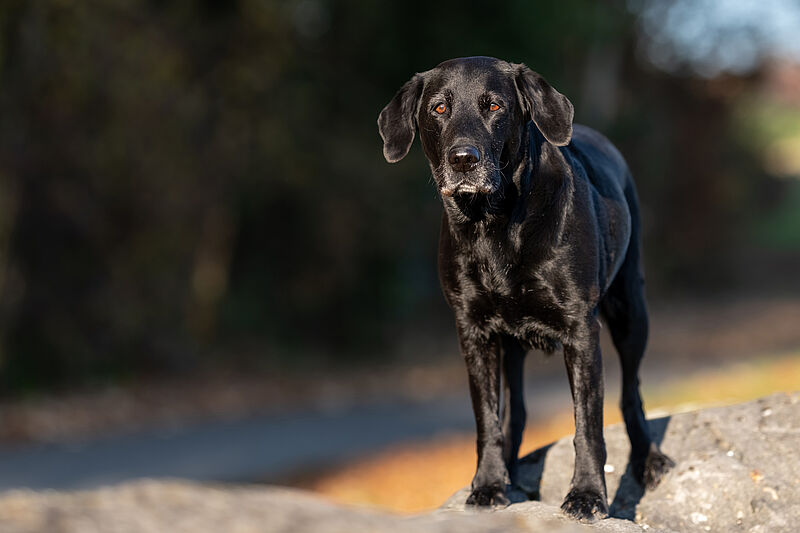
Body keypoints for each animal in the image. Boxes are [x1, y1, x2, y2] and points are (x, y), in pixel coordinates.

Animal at [378, 57, 672, 520]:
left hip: (631, 311)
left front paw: (587, 495)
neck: (494, 225)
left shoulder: (581, 331)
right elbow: (487, 418)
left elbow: (587, 423)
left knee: (631, 393)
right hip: (512, 345)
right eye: (439, 108)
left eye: (495, 106)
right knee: (514, 412)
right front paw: (487, 485)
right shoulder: (474, 333)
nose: (464, 159)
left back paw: (649, 460)